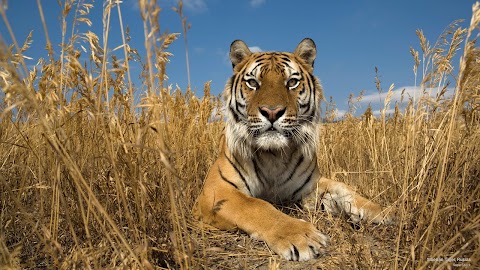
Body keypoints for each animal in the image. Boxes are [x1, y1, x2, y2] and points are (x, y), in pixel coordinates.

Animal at [192, 38, 394, 262]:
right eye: (253, 83)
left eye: (292, 82)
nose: (272, 112)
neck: (273, 155)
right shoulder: (216, 190)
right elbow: (256, 205)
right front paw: (303, 237)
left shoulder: (310, 187)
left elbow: (344, 189)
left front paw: (382, 211)